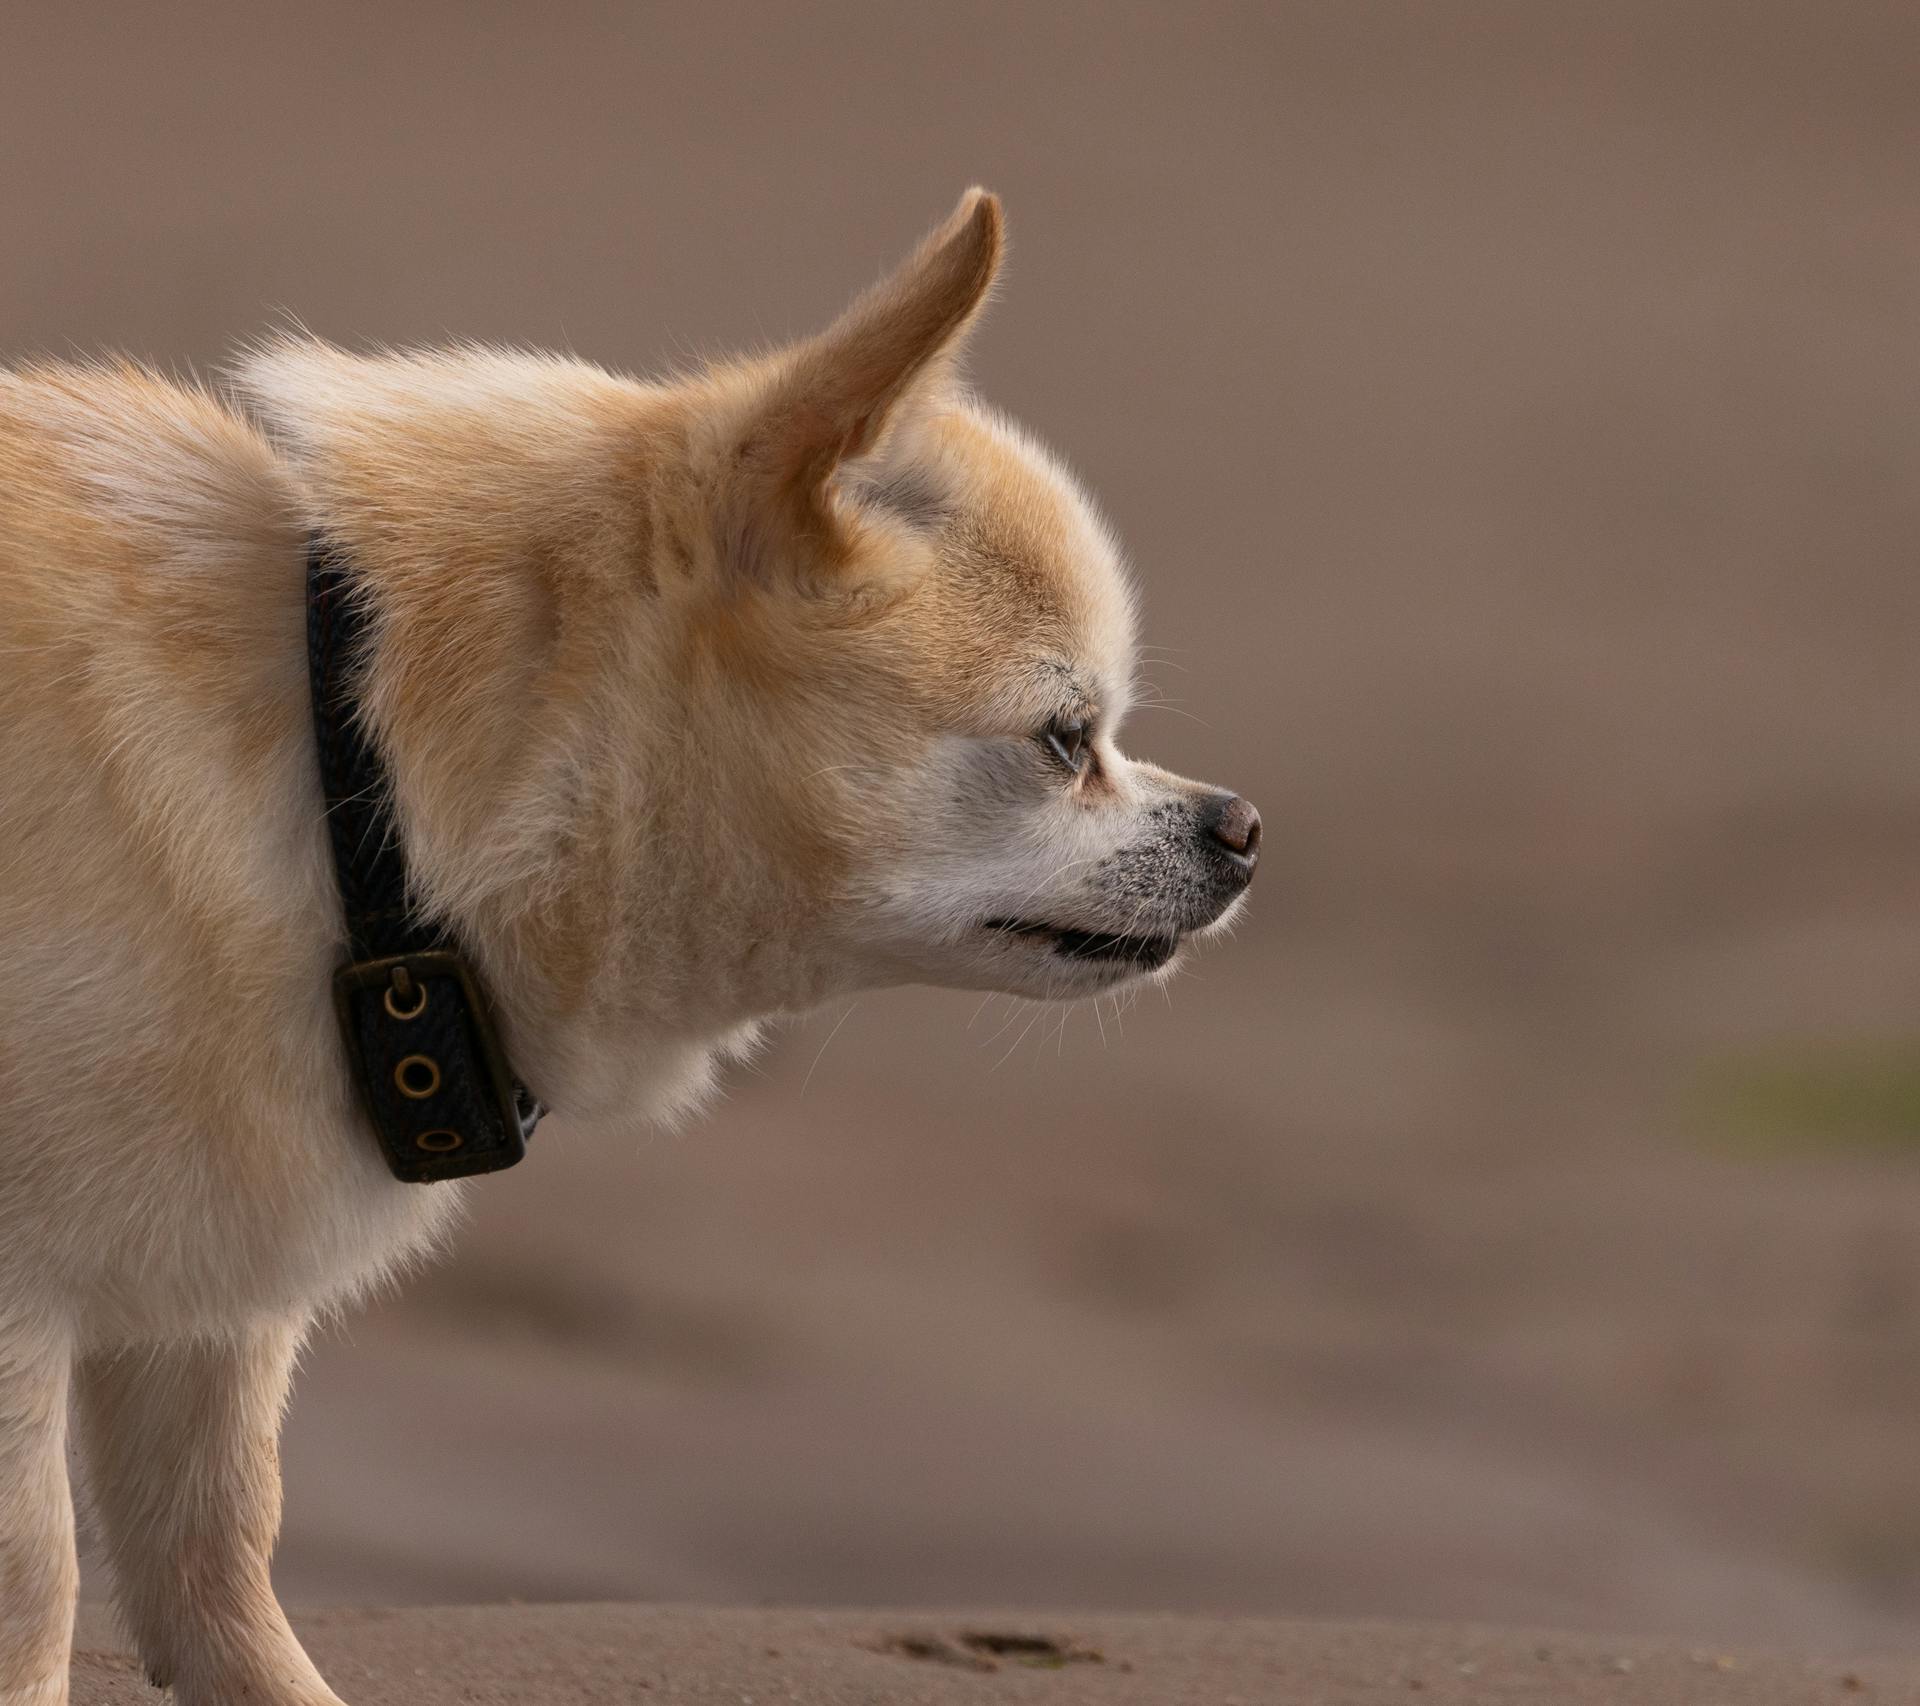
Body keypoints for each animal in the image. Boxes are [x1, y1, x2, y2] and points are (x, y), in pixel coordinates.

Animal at [0, 192, 1251, 1696]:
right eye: (1068, 740)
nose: (1243, 825)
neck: (351, 770)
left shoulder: (209, 1313)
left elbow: (219, 1561)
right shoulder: (26, 1304)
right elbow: (40, 1580)